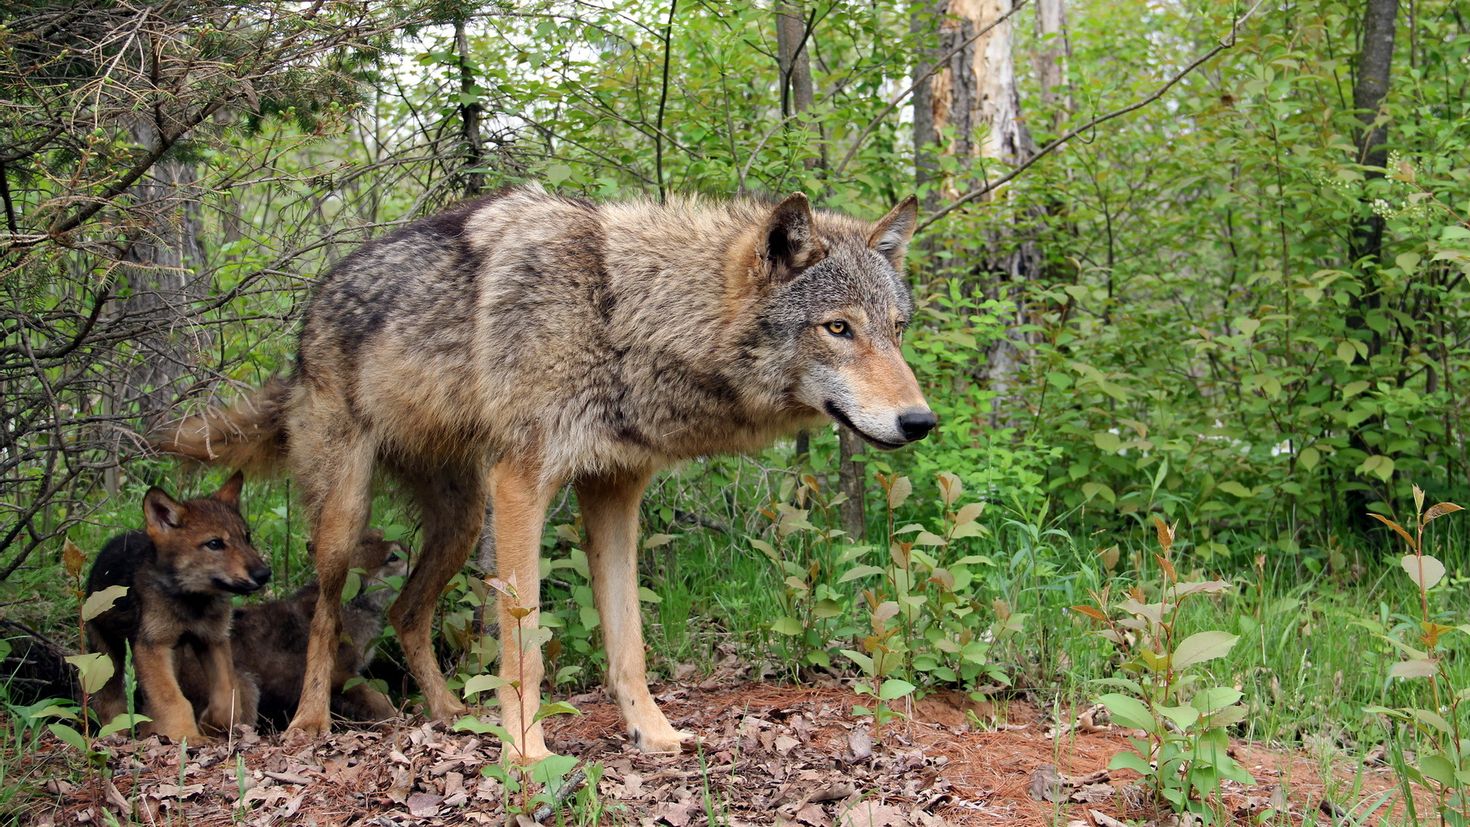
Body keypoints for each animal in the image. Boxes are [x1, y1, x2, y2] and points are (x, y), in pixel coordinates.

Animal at [84, 472, 270, 743]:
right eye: (215, 544)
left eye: (246, 537)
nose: (264, 574)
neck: (192, 603)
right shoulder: (152, 646)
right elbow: (173, 700)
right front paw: (186, 736)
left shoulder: (212, 639)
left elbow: (228, 694)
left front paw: (210, 725)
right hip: (109, 657)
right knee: (109, 702)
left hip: (176, 654)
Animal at [178, 531, 408, 731]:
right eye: (394, 557)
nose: (412, 554)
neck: (352, 603)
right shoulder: (341, 676)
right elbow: (378, 700)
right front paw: (400, 718)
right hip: (245, 688)